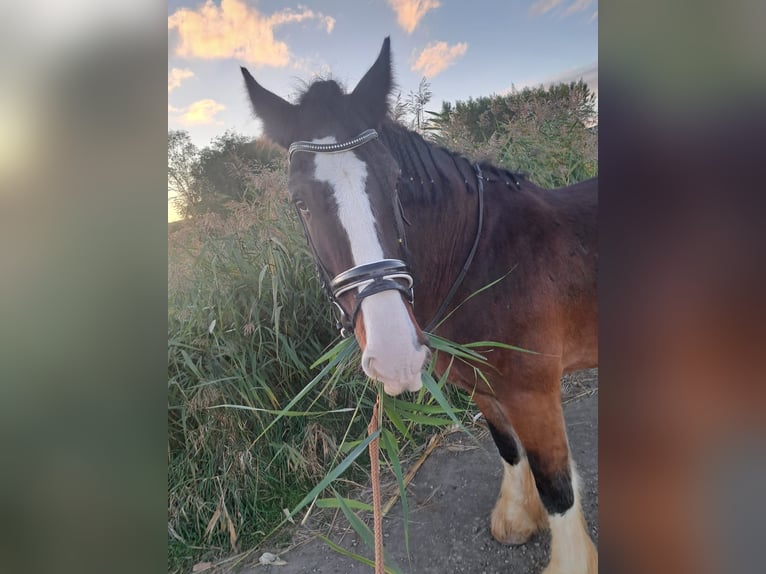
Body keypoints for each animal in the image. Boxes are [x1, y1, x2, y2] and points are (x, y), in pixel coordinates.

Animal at [243, 37, 596, 574]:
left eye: (394, 182)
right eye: (299, 201)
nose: (395, 357)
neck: (486, 259)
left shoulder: (534, 393)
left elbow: (557, 486)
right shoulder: (484, 387)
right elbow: (509, 448)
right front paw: (517, 518)